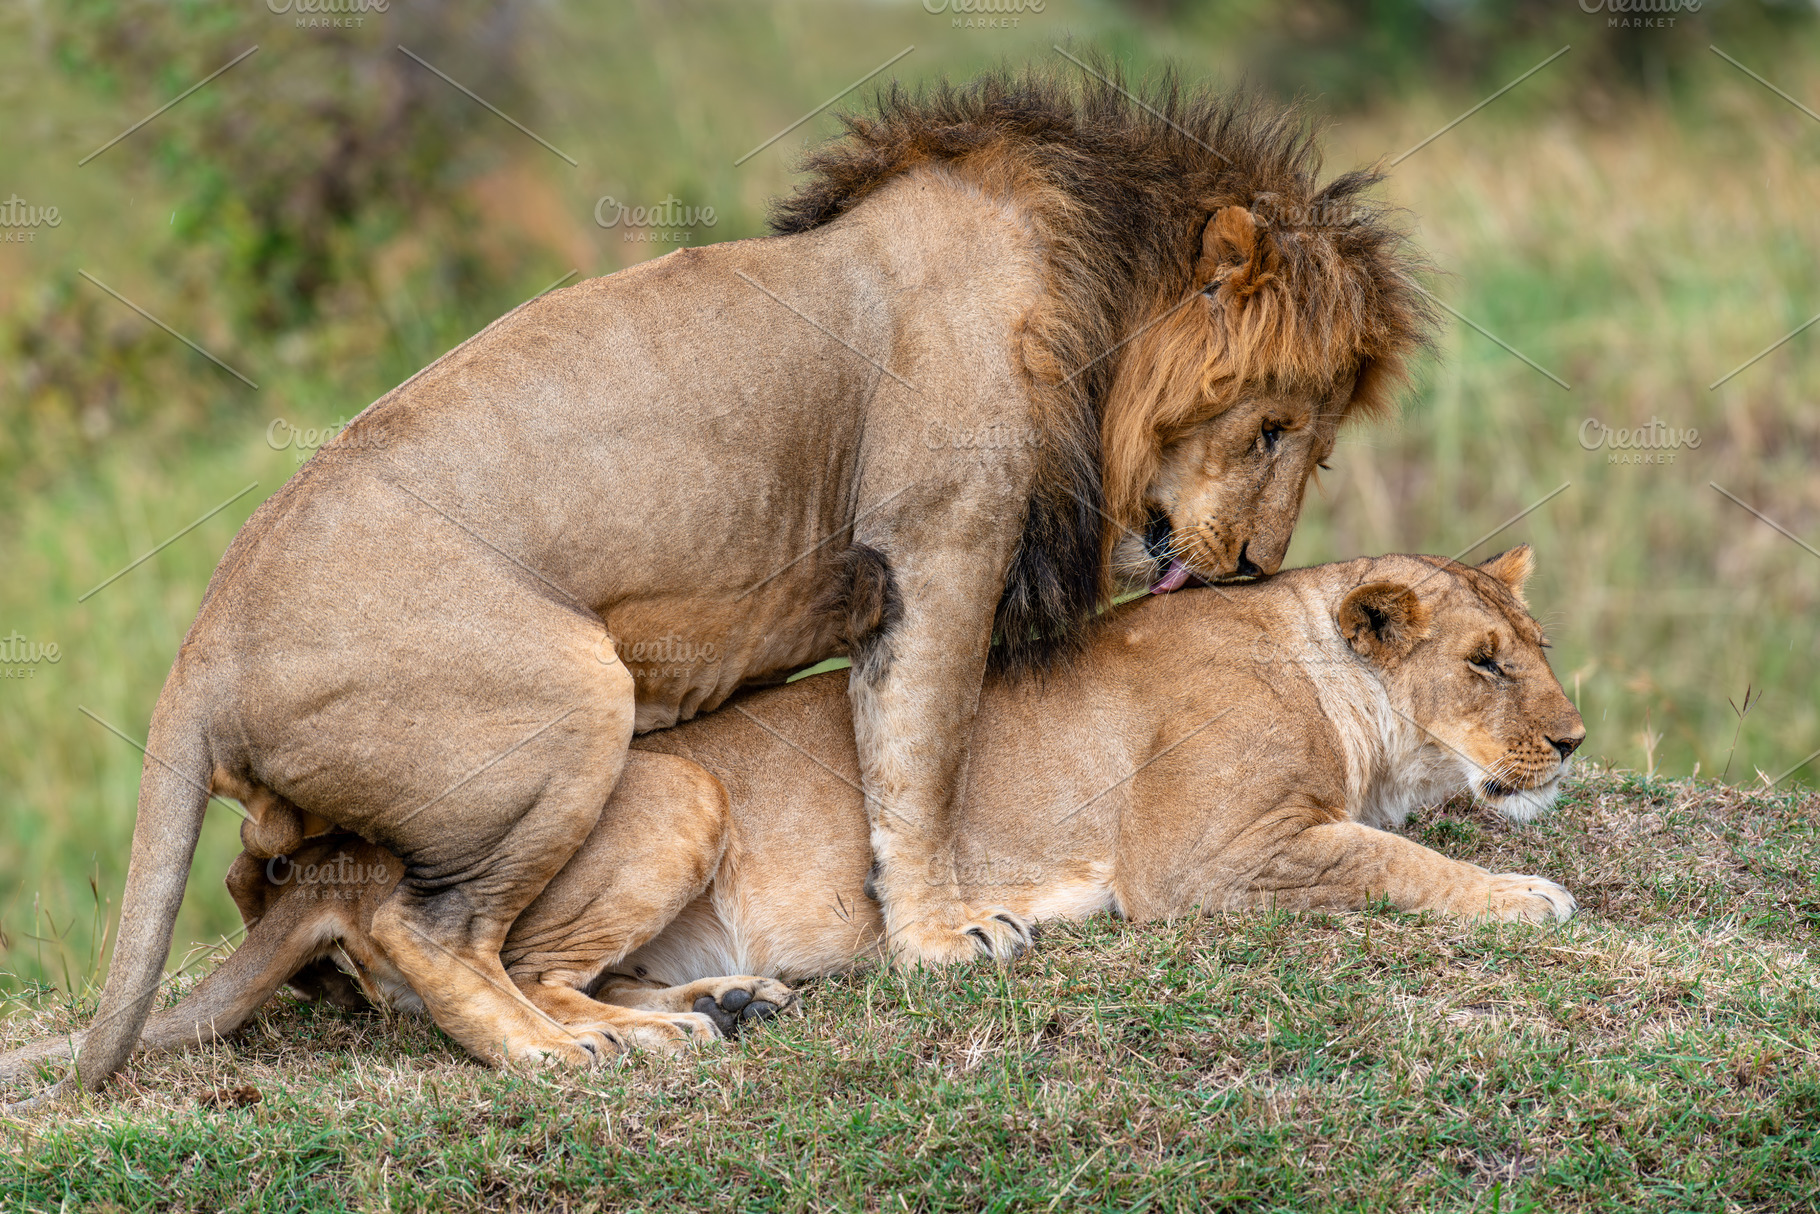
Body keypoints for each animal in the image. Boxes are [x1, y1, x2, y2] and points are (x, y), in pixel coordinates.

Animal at [2, 549, 1581, 1089]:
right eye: (1482, 661)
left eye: (1536, 644)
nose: (1572, 738)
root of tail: (340, 862)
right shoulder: (1213, 858)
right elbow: (1388, 856)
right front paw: (1530, 899)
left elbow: (1396, 841)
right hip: (678, 789)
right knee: (499, 961)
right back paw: (627, 1043)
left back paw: (729, 1002)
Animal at [71, 67, 1432, 1084]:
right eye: (1272, 427)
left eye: (1308, 438)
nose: (1250, 567)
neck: (1090, 294)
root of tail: (199, 654)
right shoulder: (938, 546)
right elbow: (918, 758)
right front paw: (943, 936)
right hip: (575, 696)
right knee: (426, 927)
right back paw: (571, 1048)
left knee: (288, 891)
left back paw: (692, 1007)